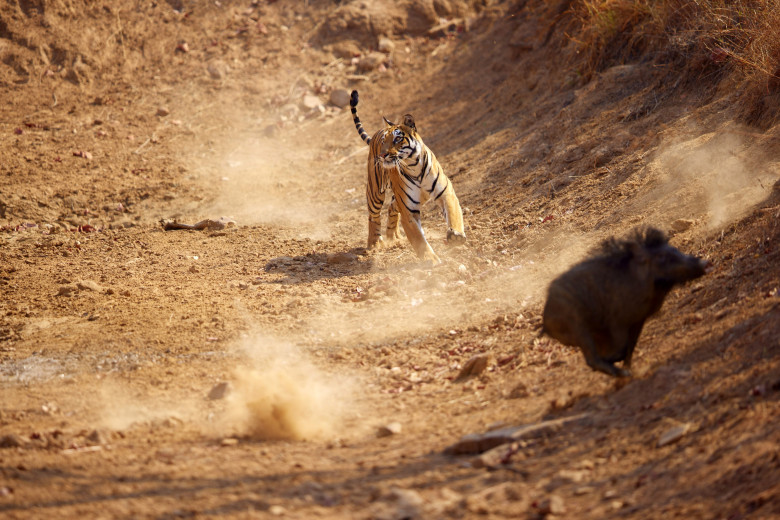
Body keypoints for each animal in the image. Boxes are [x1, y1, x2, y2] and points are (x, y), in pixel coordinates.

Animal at [350, 89, 466, 264]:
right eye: (384, 141)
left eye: (397, 139)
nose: (382, 155)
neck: (414, 165)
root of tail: (376, 132)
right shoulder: (408, 210)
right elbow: (419, 239)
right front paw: (431, 260)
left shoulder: (446, 193)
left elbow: (454, 214)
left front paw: (456, 236)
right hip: (375, 192)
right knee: (373, 217)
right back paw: (375, 244)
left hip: (407, 198)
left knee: (391, 208)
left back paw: (394, 238)